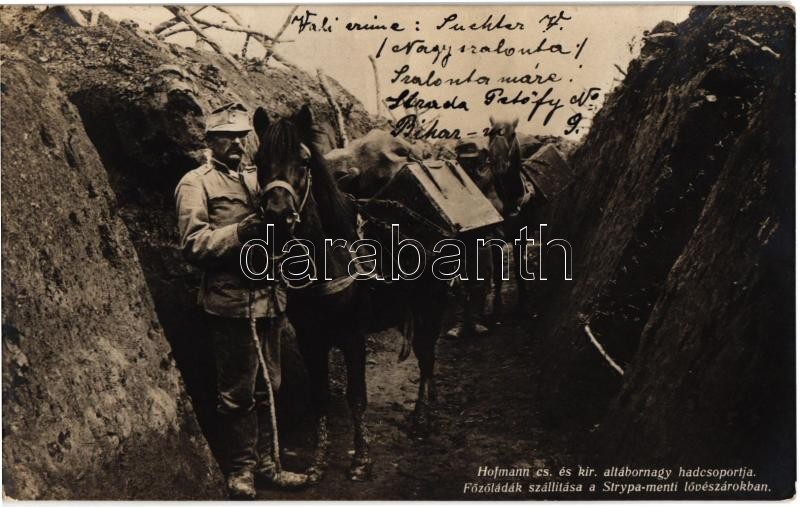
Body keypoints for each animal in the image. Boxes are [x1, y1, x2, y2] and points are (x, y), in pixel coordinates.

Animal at [250, 104, 447, 484]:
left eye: (304, 161)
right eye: (259, 159)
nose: (278, 214)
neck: (327, 260)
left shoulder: (354, 337)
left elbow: (357, 397)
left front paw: (361, 459)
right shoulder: (311, 339)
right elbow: (321, 397)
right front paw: (318, 460)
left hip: (430, 309)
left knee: (428, 360)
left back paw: (421, 419)